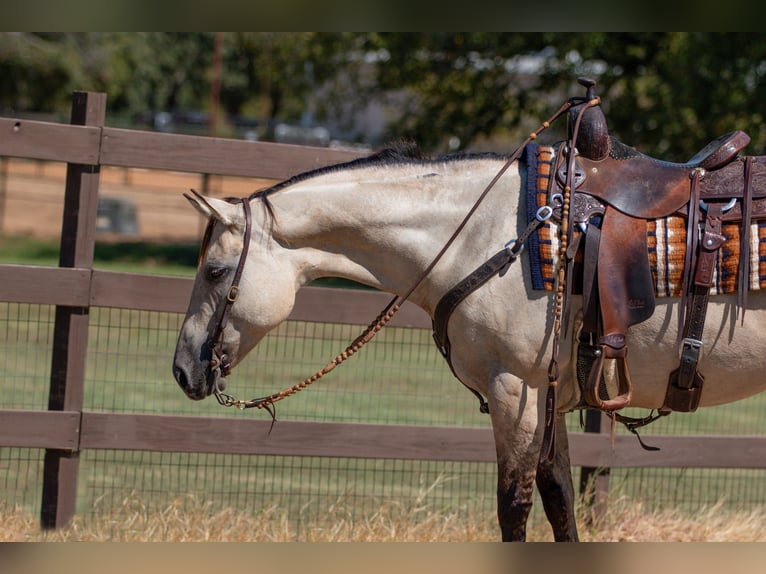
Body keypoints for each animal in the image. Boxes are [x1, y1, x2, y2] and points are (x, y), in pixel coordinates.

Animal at [172, 79, 766, 544]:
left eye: (216, 271)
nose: (182, 370)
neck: (489, 233)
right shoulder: (549, 399)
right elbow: (560, 501)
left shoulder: (516, 391)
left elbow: (515, 508)